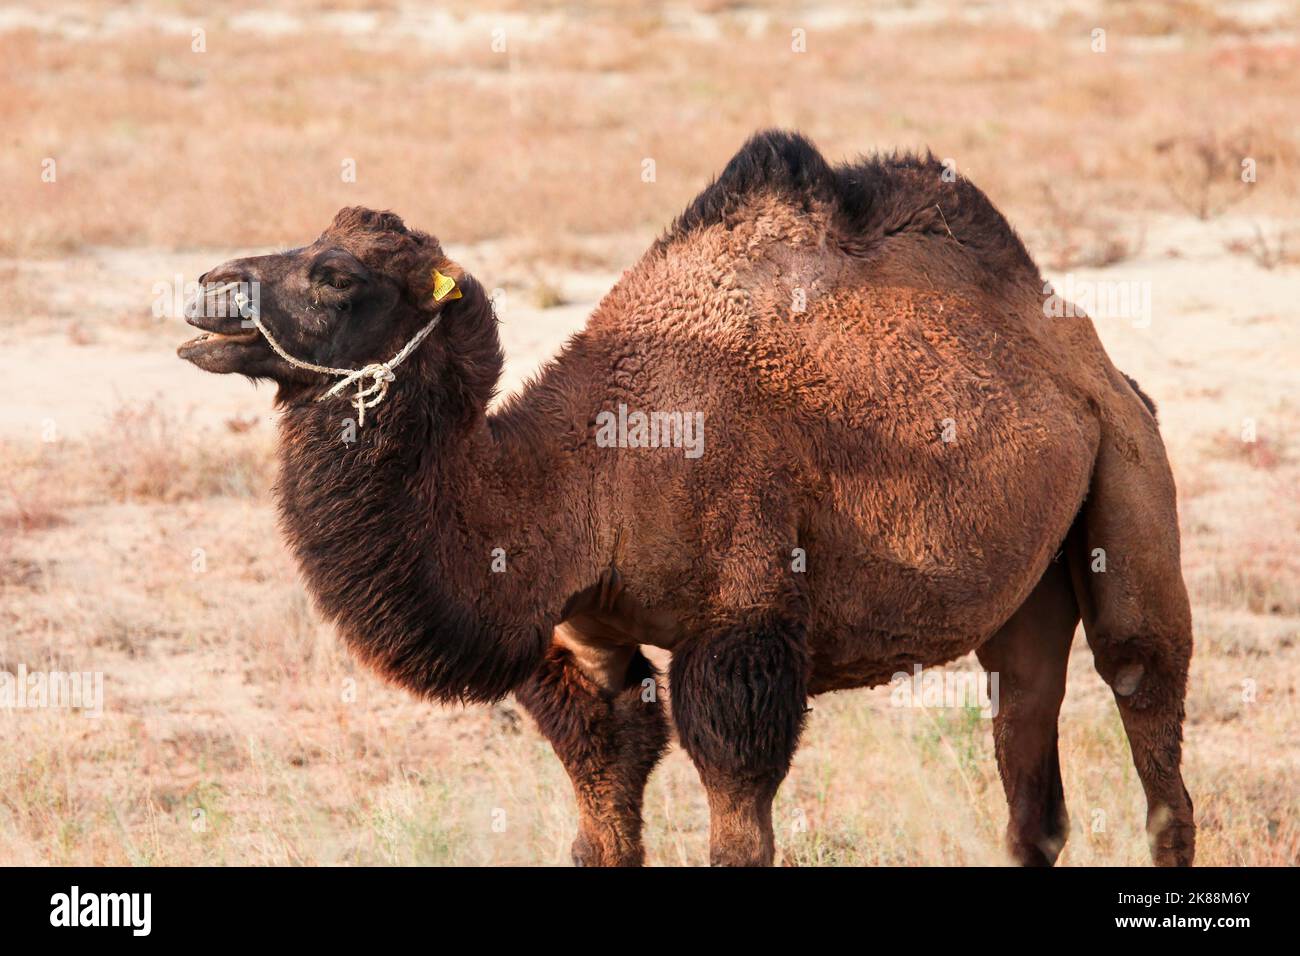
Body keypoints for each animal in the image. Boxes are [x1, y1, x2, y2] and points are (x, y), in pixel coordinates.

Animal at [178, 128, 1190, 868]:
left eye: (335, 276)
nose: (207, 292)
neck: (588, 471)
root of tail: (1094, 364)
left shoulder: (741, 620)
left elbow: (737, 812)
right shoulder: (586, 634)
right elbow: (602, 805)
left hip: (1132, 471)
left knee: (1144, 693)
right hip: (1029, 580)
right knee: (1028, 761)